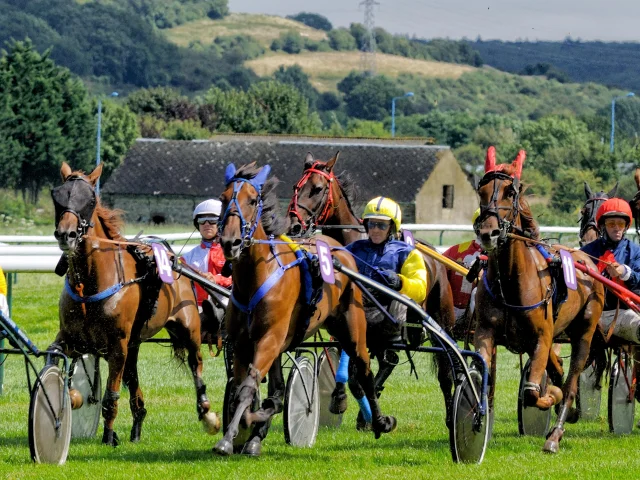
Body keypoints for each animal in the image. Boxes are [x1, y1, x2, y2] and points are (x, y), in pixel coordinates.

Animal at [50, 162, 220, 446]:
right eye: (58, 195)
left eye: (91, 199)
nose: (67, 234)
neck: (91, 284)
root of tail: (177, 260)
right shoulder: (71, 338)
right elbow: (54, 356)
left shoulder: (117, 344)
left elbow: (110, 396)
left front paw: (108, 435)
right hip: (135, 342)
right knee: (134, 379)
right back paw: (137, 425)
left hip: (188, 327)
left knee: (196, 363)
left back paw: (206, 412)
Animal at [212, 163, 398, 456]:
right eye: (223, 198)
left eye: (252, 200)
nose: (231, 242)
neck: (257, 276)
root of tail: (338, 248)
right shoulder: (243, 343)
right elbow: (246, 390)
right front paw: (249, 428)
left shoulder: (269, 339)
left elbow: (248, 391)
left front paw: (229, 437)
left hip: (352, 327)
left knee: (364, 369)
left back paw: (378, 421)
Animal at [288, 152, 458, 422]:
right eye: (297, 187)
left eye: (317, 189)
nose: (295, 225)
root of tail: (434, 256)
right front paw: (342, 396)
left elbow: (355, 369)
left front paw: (351, 401)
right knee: (390, 358)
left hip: (442, 317)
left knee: (445, 367)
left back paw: (452, 411)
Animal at [476, 146, 604, 454]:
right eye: (480, 190)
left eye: (510, 192)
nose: (488, 233)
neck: (511, 281)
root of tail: (587, 261)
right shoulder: (485, 331)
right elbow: (485, 374)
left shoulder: (541, 337)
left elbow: (533, 393)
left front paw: (550, 397)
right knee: (557, 367)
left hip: (585, 331)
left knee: (572, 378)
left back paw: (555, 433)